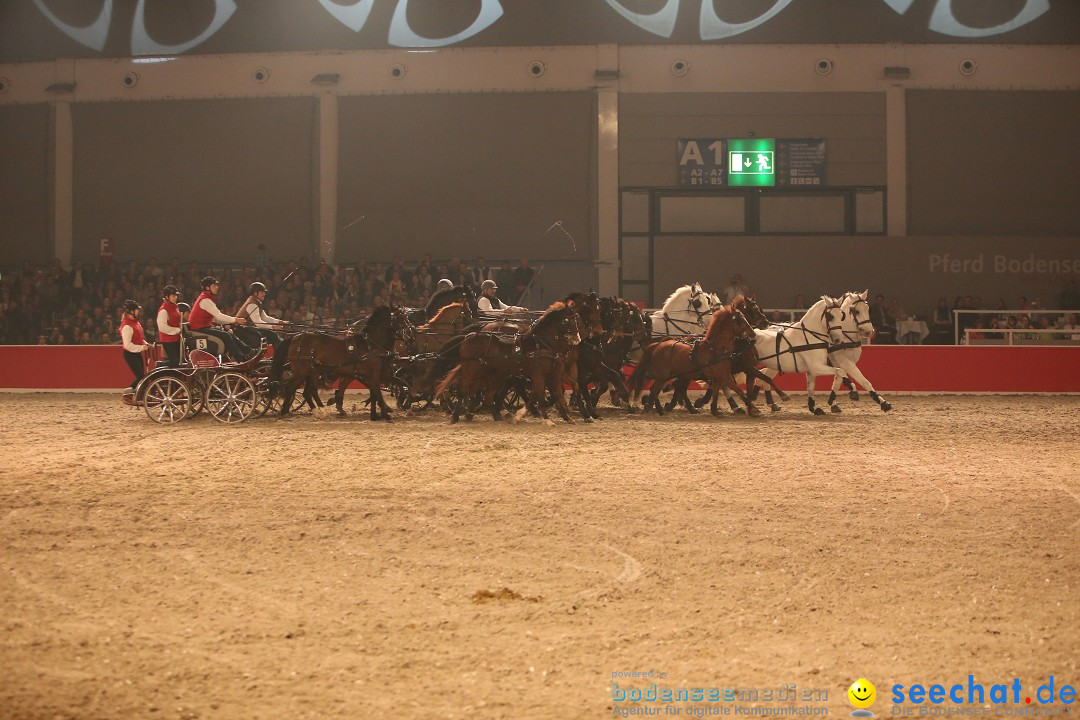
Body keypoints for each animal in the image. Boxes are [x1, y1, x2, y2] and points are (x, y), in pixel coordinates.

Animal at [436, 302, 583, 423]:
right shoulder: (539, 375)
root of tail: (469, 336)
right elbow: (540, 396)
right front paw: (546, 419)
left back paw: (490, 414)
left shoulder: (555, 373)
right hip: (470, 369)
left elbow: (559, 392)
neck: (541, 344)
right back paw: (456, 416)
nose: (577, 339)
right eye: (567, 320)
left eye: (577, 319)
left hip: (492, 375)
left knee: (482, 394)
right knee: (463, 390)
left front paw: (567, 415)